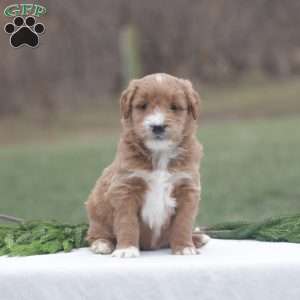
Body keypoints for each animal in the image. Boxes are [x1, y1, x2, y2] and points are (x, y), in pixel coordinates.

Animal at [85, 73, 210, 258]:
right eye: (142, 106)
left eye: (174, 107)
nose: (158, 126)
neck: (159, 154)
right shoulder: (125, 188)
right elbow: (127, 221)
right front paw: (126, 249)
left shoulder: (187, 188)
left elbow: (183, 222)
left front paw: (184, 247)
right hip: (96, 208)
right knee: (95, 233)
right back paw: (102, 244)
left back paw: (198, 238)